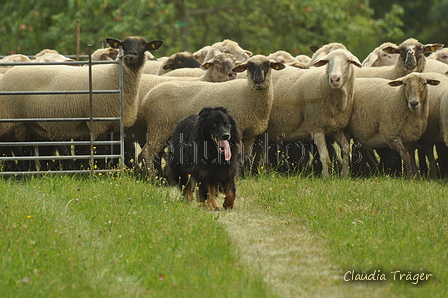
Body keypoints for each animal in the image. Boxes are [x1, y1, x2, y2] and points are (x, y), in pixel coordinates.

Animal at [0, 36, 163, 143]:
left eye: (144, 45)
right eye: (123, 44)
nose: (131, 55)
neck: (113, 75)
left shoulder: (112, 127)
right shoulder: (98, 124)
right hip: (6, 119)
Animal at [138, 54, 286, 173]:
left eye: (268, 65)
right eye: (249, 66)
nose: (258, 80)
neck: (247, 92)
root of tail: (147, 97)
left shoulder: (249, 135)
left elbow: (244, 157)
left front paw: (245, 175)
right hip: (159, 126)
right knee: (148, 153)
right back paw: (151, 178)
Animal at [258, 47, 362, 176]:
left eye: (348, 61)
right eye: (328, 61)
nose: (334, 79)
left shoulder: (335, 128)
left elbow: (346, 149)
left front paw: (344, 174)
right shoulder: (317, 128)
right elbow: (324, 156)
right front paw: (326, 177)